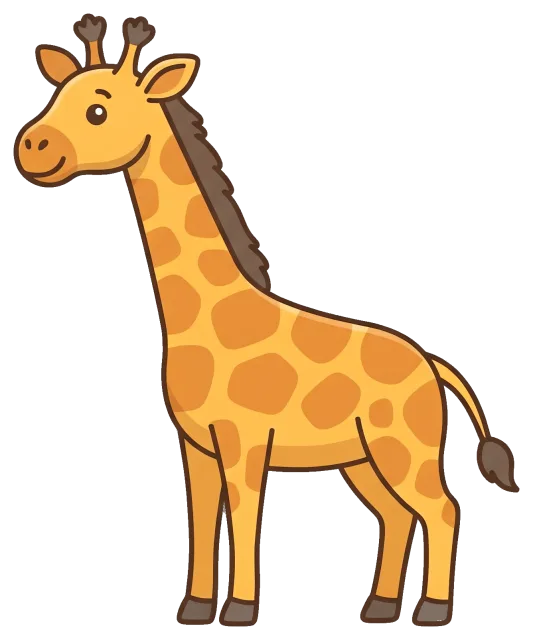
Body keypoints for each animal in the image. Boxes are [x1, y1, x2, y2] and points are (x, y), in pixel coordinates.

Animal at [14, 15, 519, 628]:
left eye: (97, 110)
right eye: (58, 95)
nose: (31, 148)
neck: (209, 314)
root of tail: (434, 367)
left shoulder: (245, 443)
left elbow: (245, 516)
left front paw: (238, 610)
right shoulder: (197, 446)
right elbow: (203, 518)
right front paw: (196, 608)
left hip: (402, 450)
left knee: (442, 509)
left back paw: (430, 612)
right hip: (363, 459)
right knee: (398, 515)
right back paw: (377, 606)